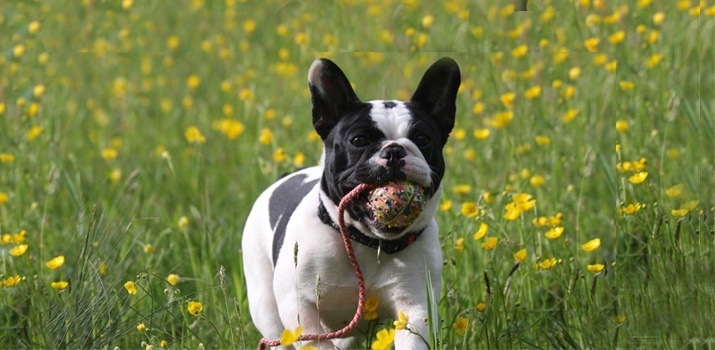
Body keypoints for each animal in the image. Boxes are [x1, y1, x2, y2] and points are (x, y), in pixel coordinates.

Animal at [243, 56, 462, 348]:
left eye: (423, 139)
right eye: (359, 140)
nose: (394, 150)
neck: (366, 243)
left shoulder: (415, 306)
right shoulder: (300, 307)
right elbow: (314, 340)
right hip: (266, 305)